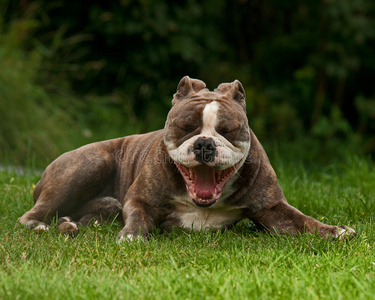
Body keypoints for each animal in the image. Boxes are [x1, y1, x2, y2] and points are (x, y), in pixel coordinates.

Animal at [19, 75, 356, 241]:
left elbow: (303, 221)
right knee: (32, 214)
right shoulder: (140, 199)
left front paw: (334, 231)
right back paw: (40, 226)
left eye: (228, 130)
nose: (205, 144)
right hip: (89, 165)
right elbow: (138, 217)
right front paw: (131, 237)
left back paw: (70, 226)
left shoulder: (273, 209)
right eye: (185, 127)